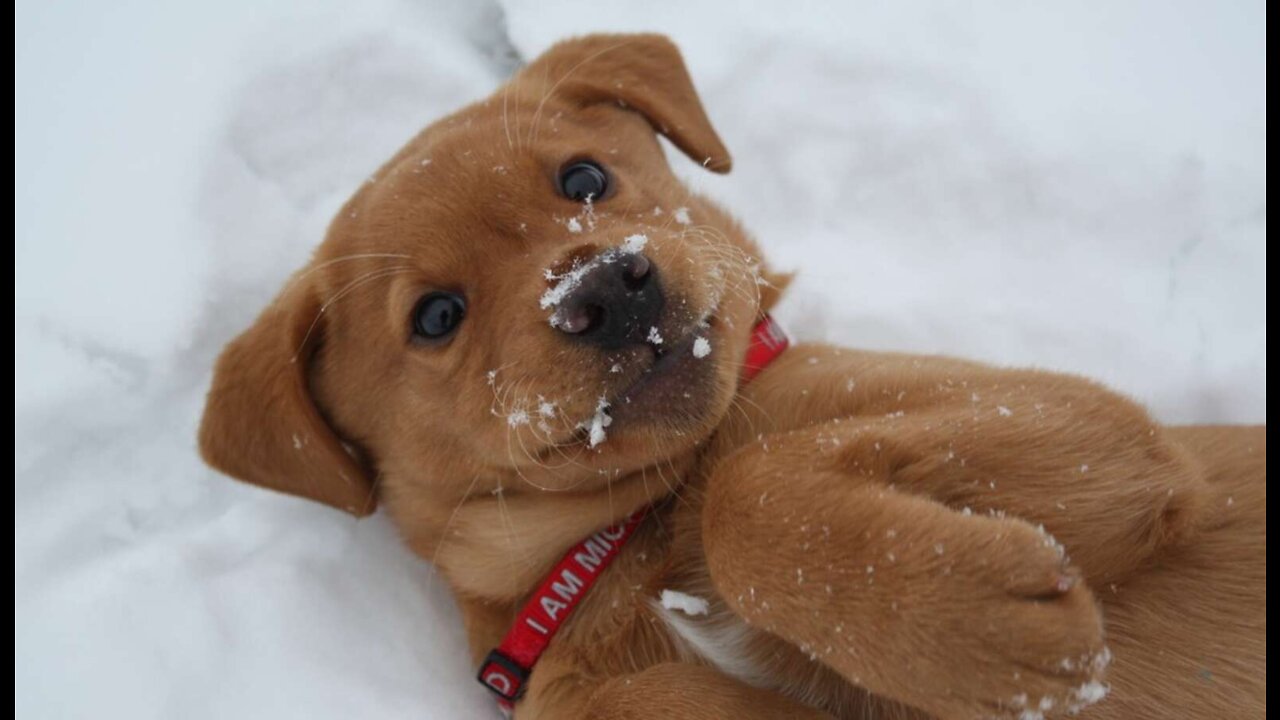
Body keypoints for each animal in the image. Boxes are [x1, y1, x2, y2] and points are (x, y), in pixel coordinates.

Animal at [194, 33, 1264, 717]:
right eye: (436, 316)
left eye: (583, 178)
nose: (606, 288)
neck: (633, 531)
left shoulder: (1100, 432)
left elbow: (749, 490)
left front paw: (976, 626)